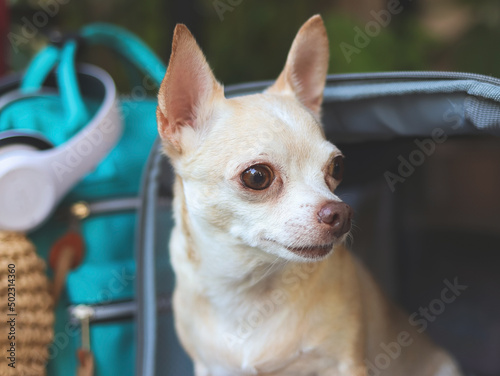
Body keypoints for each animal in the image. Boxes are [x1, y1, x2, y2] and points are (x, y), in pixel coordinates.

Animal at [155, 14, 460, 376]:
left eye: (337, 167)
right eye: (257, 176)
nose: (342, 213)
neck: (249, 291)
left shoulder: (346, 364)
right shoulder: (208, 366)